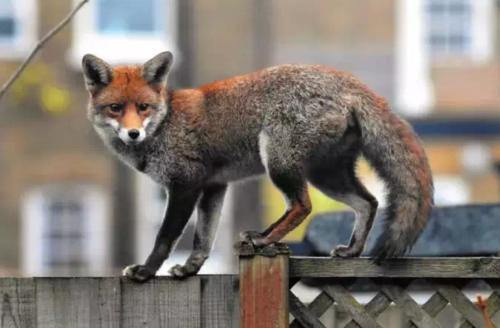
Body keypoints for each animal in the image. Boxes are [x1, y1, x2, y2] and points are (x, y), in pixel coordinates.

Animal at [82, 51, 434, 282]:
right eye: (116, 108)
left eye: (143, 107)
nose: (133, 133)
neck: (166, 125)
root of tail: (348, 81)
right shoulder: (214, 186)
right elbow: (203, 240)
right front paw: (191, 269)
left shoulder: (186, 185)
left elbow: (165, 238)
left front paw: (145, 271)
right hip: (325, 175)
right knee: (368, 202)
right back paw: (351, 250)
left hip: (279, 161)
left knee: (302, 206)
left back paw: (264, 241)